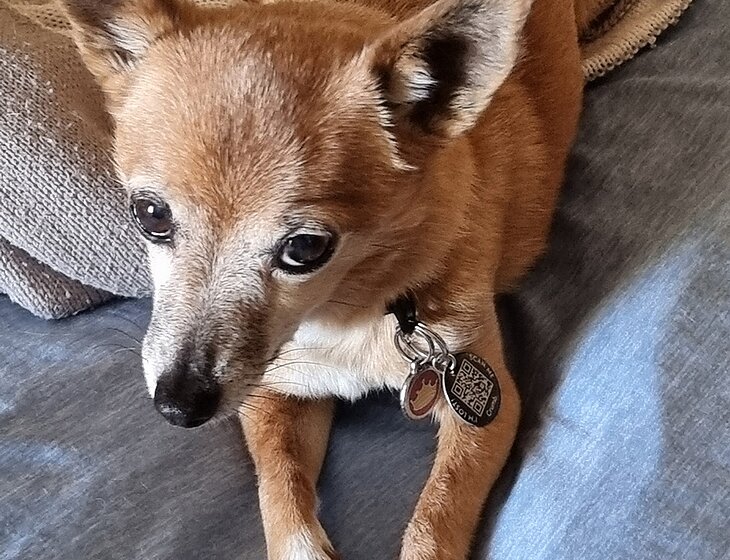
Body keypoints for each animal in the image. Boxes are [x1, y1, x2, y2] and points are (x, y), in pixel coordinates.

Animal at [61, 0, 583, 557]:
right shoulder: (273, 395)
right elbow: (282, 495)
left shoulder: (485, 409)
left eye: (305, 248)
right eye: (150, 215)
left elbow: (435, 519)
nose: (179, 405)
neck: (342, 311)